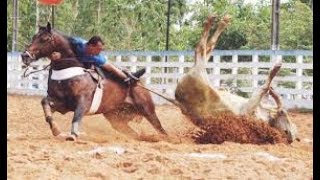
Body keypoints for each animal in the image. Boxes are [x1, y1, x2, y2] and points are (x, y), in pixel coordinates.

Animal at [20, 22, 168, 141]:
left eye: (44, 39)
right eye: (33, 37)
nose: (25, 55)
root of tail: (138, 83)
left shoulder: (83, 101)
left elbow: (77, 116)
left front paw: (73, 134)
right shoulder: (62, 103)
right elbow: (45, 103)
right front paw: (56, 130)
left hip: (147, 109)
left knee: (160, 128)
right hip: (115, 118)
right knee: (133, 133)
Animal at [174, 14, 298, 144]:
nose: (289, 135)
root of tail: (179, 97)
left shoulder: (249, 107)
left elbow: (264, 89)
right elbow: (270, 95)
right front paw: (273, 91)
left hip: (199, 72)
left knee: (201, 49)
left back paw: (215, 22)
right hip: (200, 70)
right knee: (206, 48)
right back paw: (220, 21)